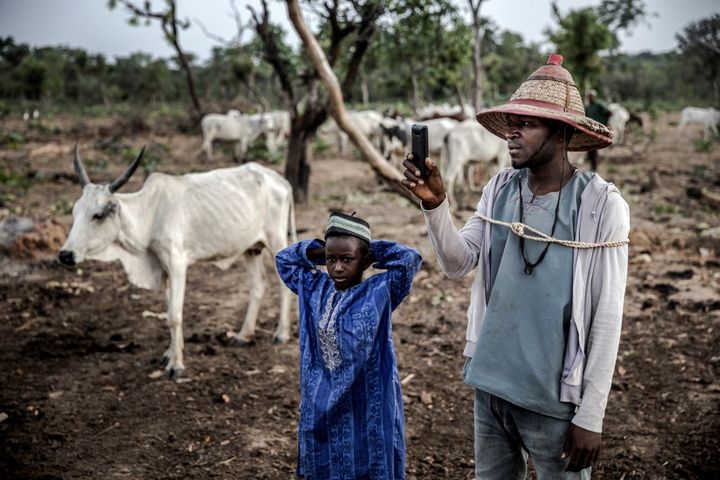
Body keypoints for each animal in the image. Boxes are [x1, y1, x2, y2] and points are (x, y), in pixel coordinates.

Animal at [57, 146, 296, 378]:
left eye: (98, 215)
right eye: (74, 212)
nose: (65, 255)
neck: (150, 215)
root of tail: (279, 180)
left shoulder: (177, 265)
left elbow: (175, 315)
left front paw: (176, 365)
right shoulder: (163, 270)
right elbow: (168, 312)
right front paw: (170, 354)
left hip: (277, 241)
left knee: (283, 285)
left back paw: (281, 334)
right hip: (250, 248)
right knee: (258, 284)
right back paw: (243, 336)